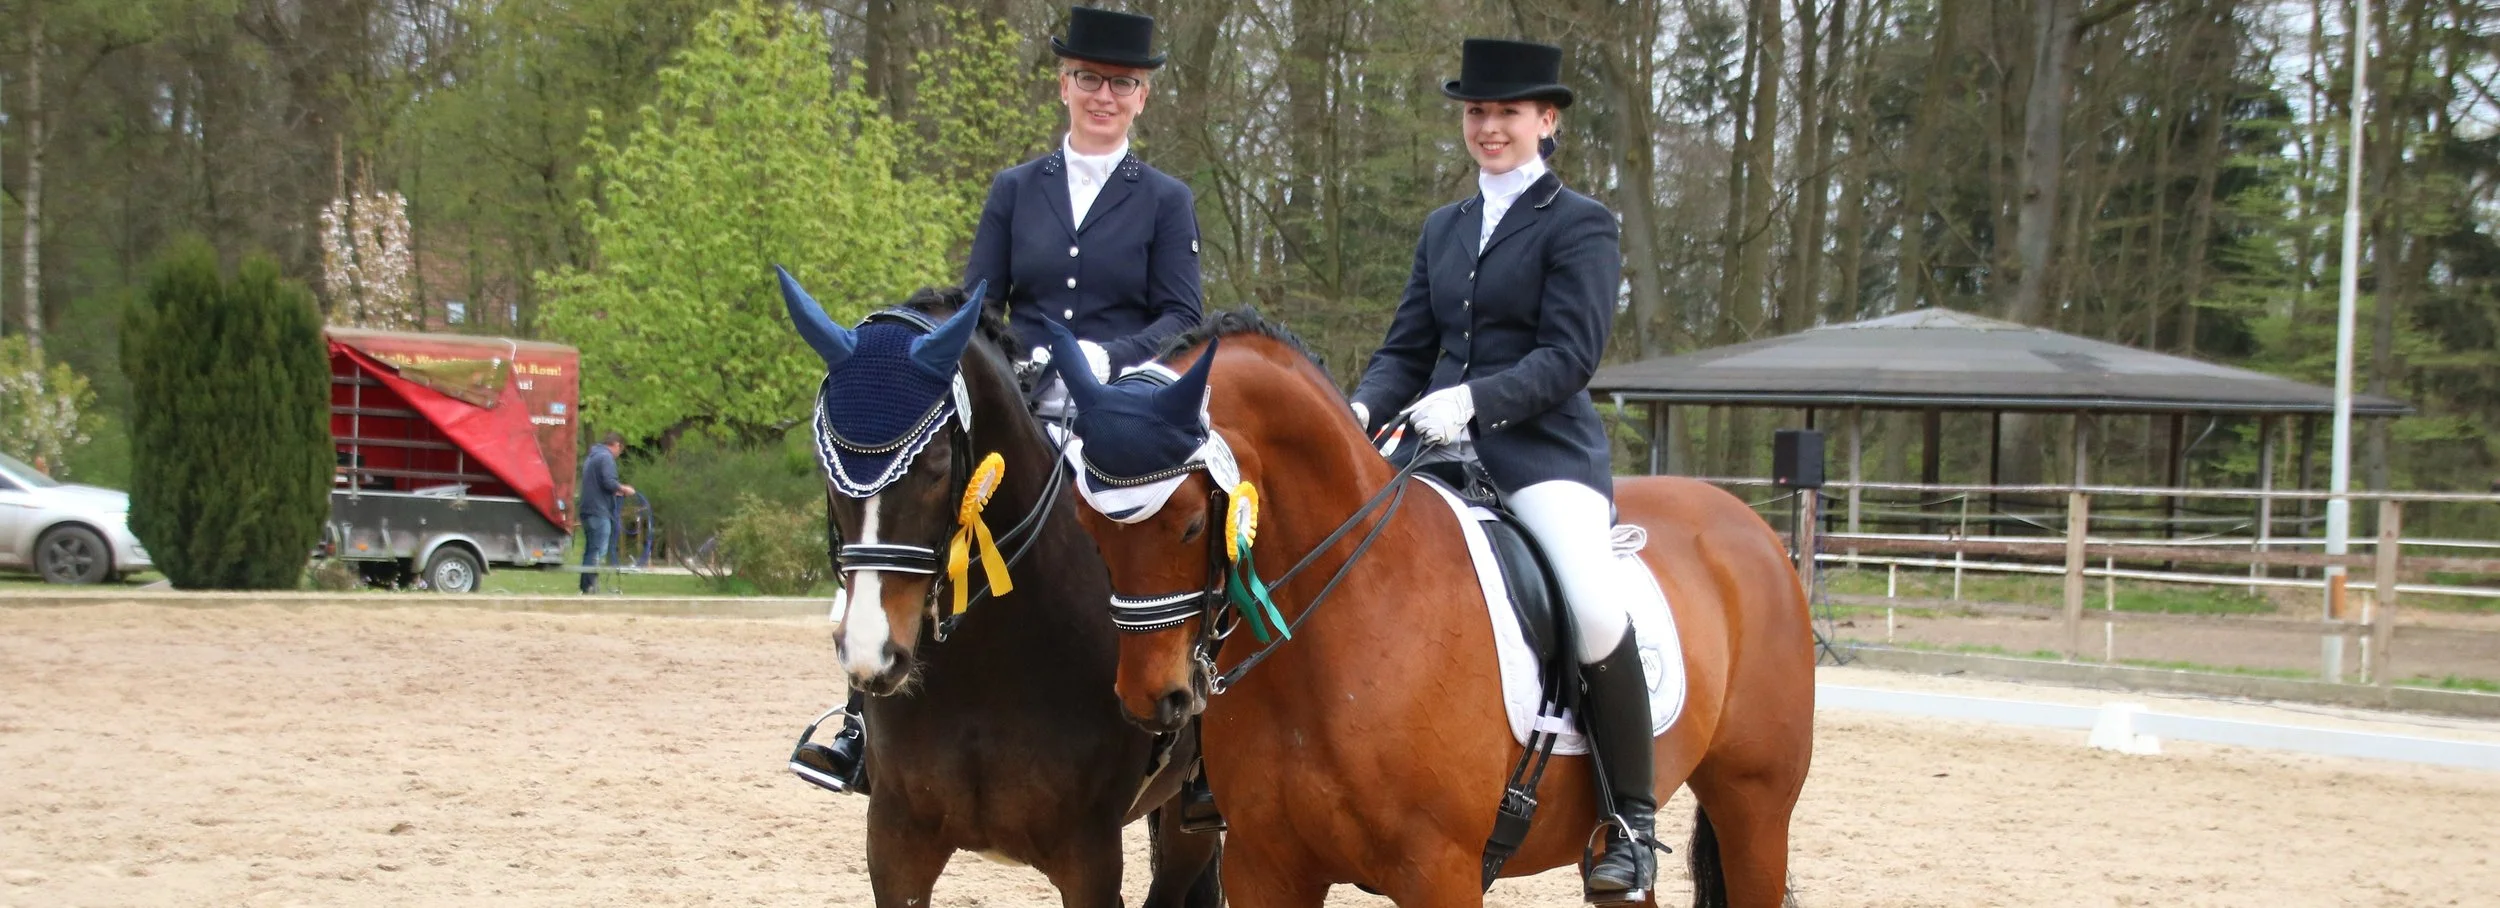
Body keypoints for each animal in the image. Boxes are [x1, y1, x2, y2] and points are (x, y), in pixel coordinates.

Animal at [775, 271, 1224, 908]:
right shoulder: (896, 842)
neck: (986, 659)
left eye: (937, 461)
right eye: (826, 462)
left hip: (1190, 821)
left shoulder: (1089, 858)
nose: (870, 653)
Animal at [1042, 309, 1814, 907]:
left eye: (1191, 525)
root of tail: (1748, 523)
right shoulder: (1266, 867)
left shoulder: (1438, 872)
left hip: (1755, 804)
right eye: (1087, 526)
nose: (1153, 698)